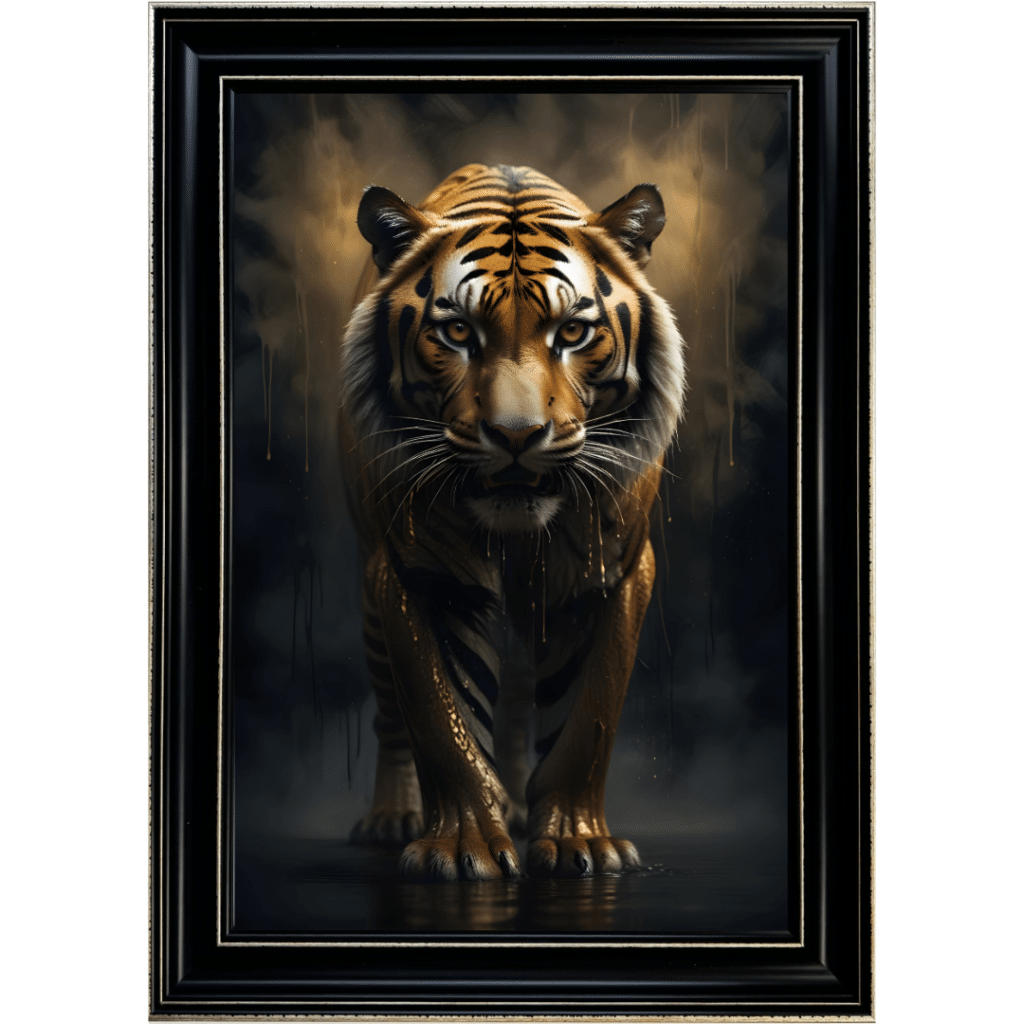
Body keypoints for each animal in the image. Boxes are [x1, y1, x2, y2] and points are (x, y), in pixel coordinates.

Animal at [339, 164, 685, 880]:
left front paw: (581, 843)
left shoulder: (613, 573)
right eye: (458, 334)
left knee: (523, 698)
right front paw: (462, 847)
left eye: (573, 334)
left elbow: (589, 717)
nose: (517, 435)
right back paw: (393, 817)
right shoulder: (415, 575)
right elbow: (439, 721)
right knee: (390, 717)